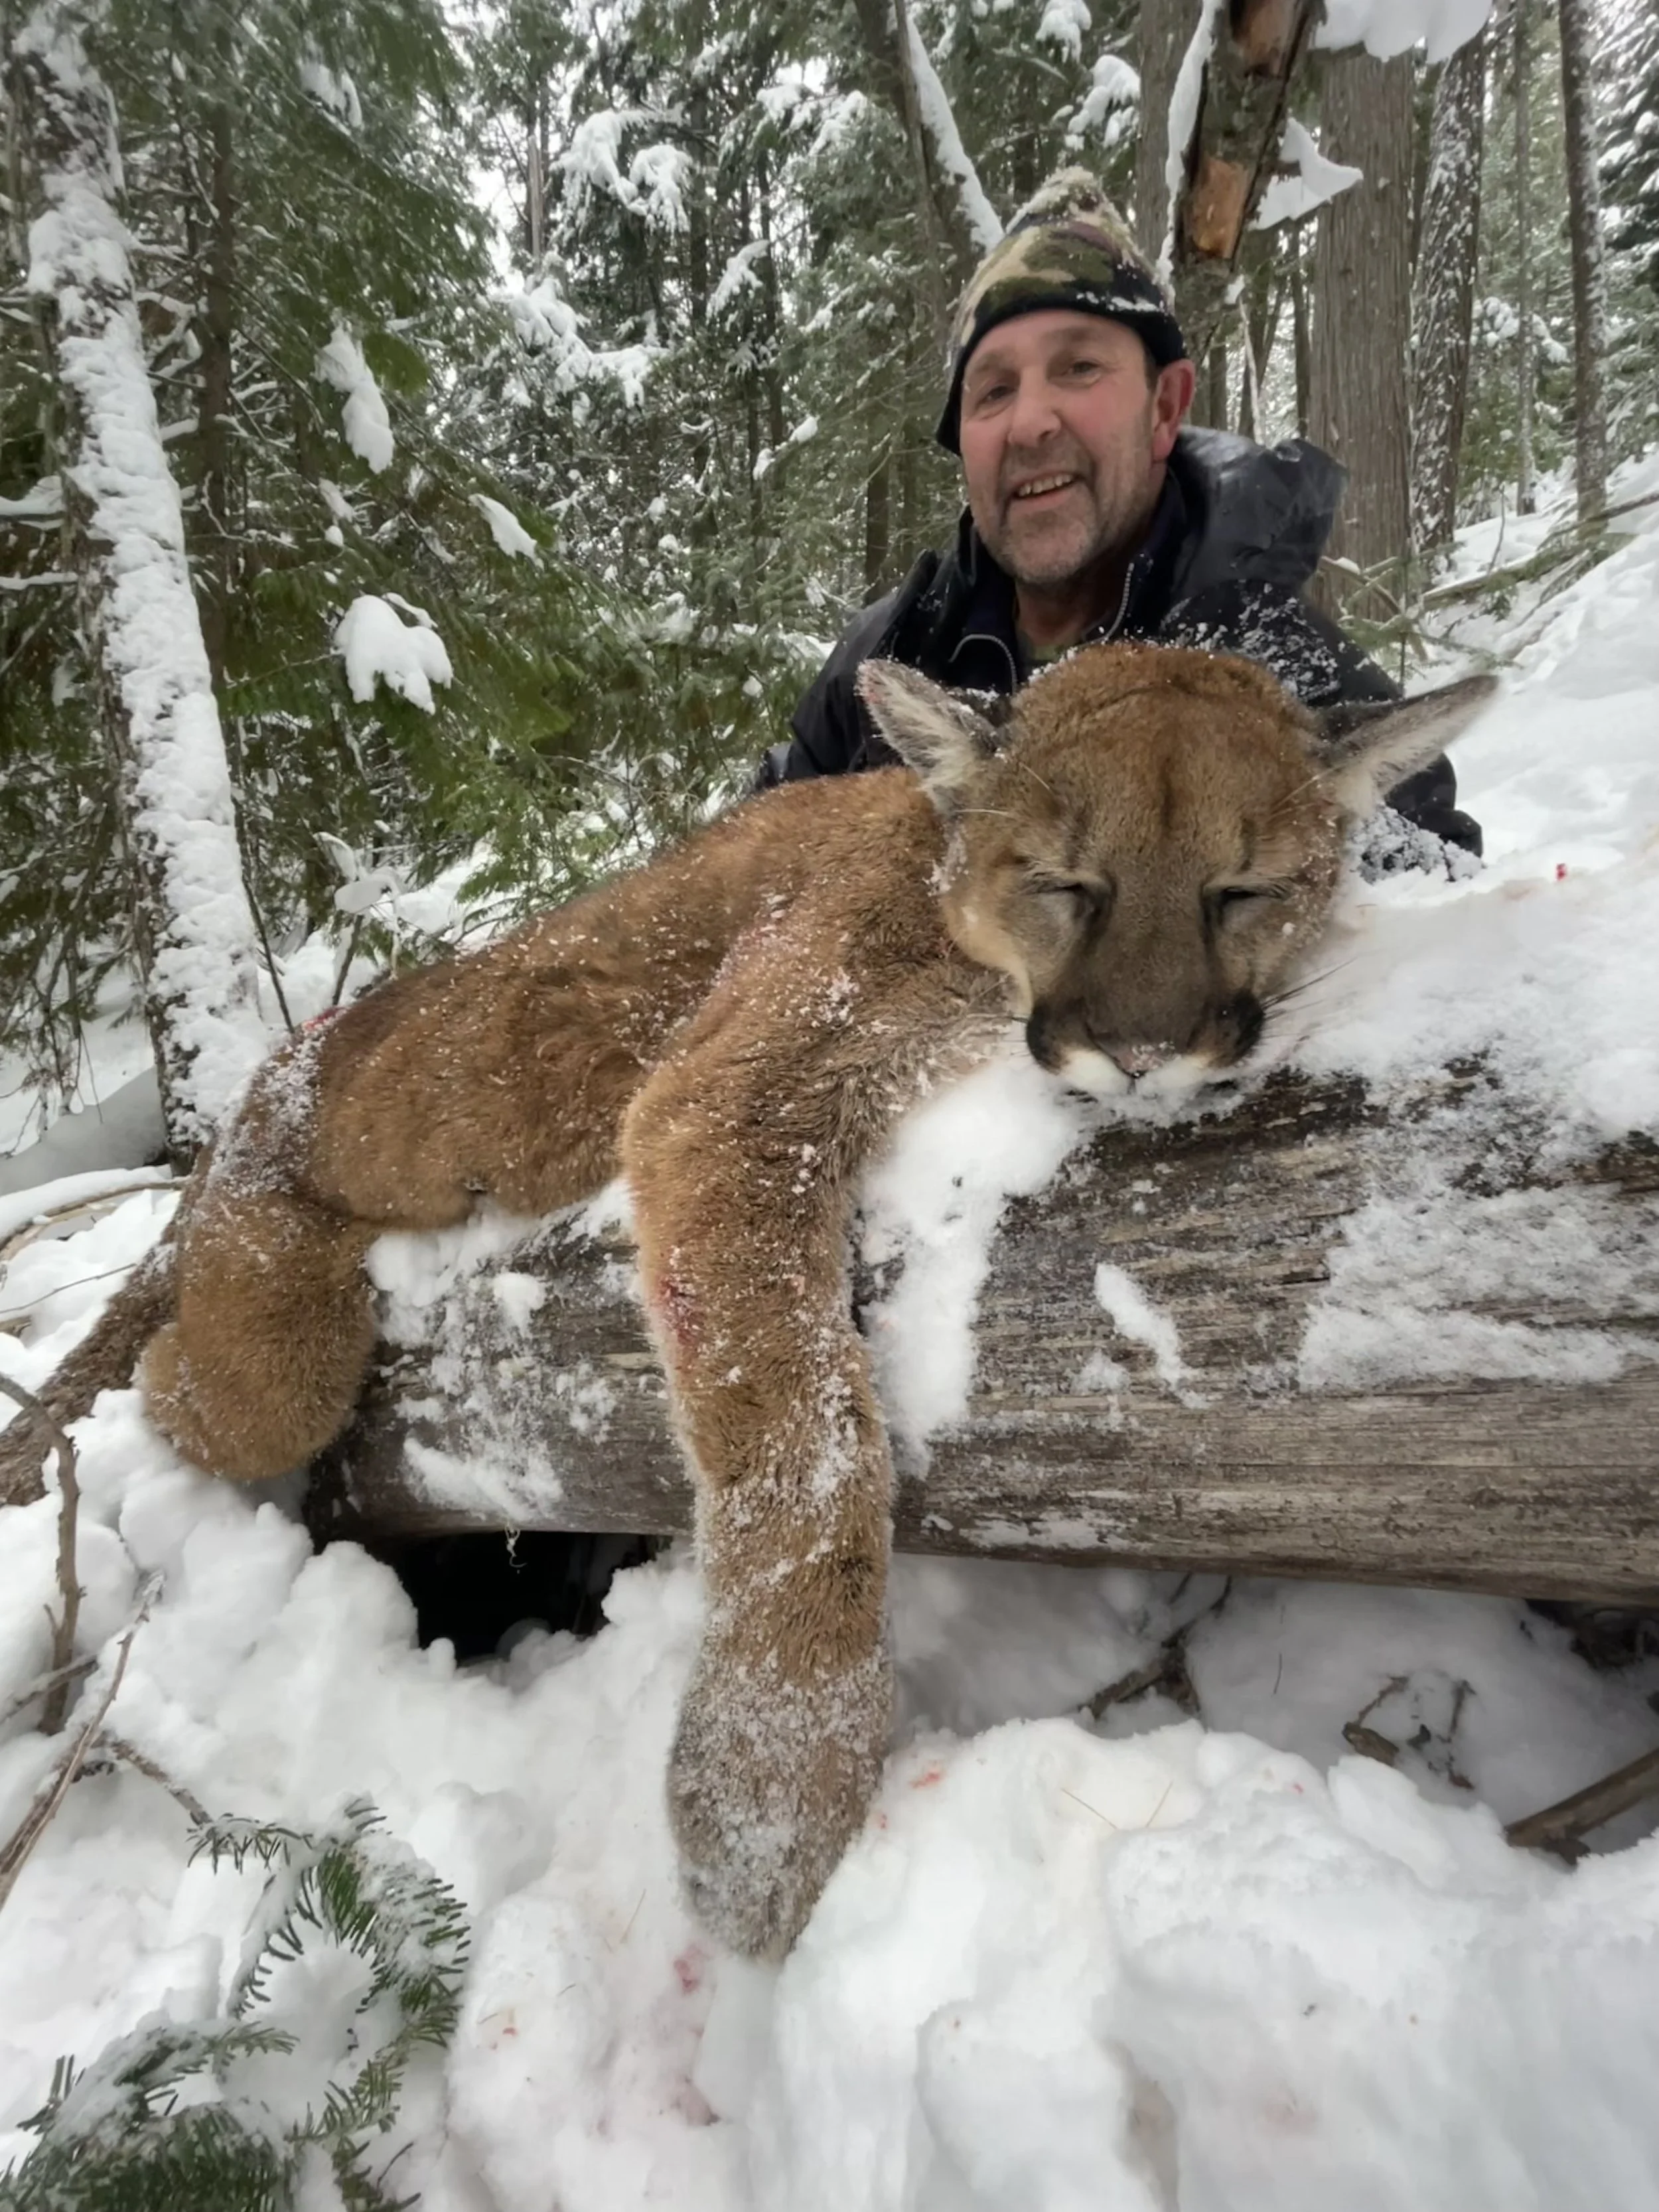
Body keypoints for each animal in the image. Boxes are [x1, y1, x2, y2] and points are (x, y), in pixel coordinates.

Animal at [1, 643, 1494, 1954]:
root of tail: (256, 1096)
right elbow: (804, 1436)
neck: (948, 902)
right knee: (212, 1391)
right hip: (278, 1318)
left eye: (1244, 891)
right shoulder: (726, 1101)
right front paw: (772, 1791)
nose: (1136, 1050)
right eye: (1069, 881)